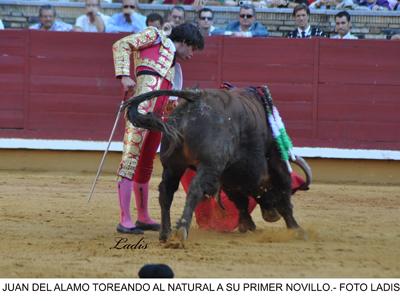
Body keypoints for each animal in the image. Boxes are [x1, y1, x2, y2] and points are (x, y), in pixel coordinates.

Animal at [123, 86, 310, 241]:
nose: (272, 215)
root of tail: (195, 98)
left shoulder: (228, 176)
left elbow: (240, 201)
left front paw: (247, 225)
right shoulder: (277, 164)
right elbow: (284, 197)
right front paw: (296, 229)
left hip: (173, 166)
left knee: (166, 192)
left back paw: (165, 233)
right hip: (208, 165)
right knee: (194, 190)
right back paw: (181, 231)